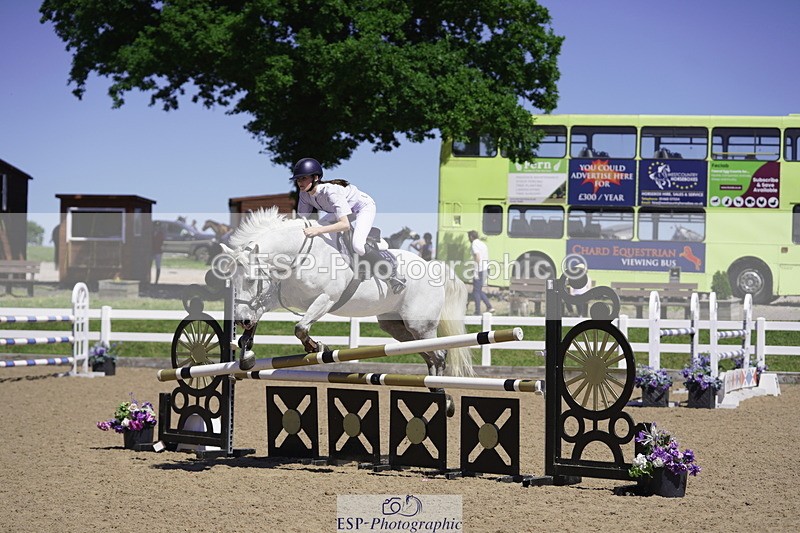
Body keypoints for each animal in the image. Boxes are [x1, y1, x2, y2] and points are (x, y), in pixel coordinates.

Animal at [218, 208, 473, 416]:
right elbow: (258, 318)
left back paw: (444, 399)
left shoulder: (326, 298)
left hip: (420, 324)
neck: (297, 255)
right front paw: (247, 354)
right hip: (395, 326)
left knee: (438, 355)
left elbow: (300, 328)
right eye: (233, 280)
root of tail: (433, 266)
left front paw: (318, 347)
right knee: (427, 354)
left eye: (251, 280)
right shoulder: (274, 297)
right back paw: (436, 391)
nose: (240, 320)